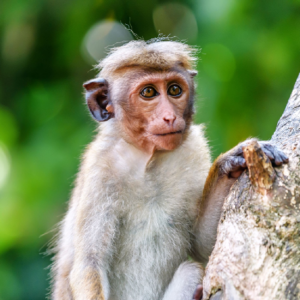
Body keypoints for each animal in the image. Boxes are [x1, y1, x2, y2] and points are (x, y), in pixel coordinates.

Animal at [50, 39, 288, 300]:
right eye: (148, 92)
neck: (147, 161)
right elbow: (89, 264)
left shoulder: (193, 147)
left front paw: (230, 162)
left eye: (174, 90)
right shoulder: (100, 169)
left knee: (191, 269)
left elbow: (202, 245)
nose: (169, 117)